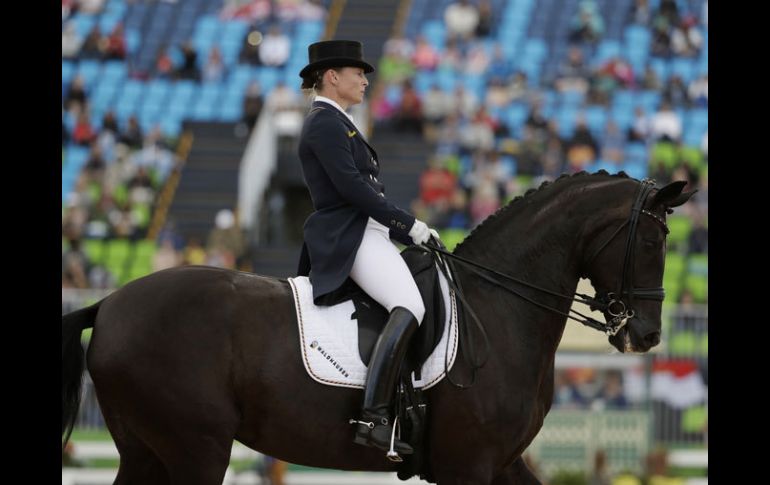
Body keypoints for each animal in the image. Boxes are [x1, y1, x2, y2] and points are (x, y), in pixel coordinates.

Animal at [63, 172, 692, 482]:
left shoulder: (503, 462)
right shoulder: (470, 465)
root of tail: (110, 303)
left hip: (145, 450)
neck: (499, 305)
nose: (646, 336)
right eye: (654, 241)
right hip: (195, 448)